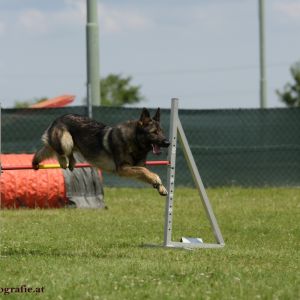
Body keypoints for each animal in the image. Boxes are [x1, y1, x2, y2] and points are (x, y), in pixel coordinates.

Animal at [32, 108, 171, 197]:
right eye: (154, 132)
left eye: (162, 131)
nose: (168, 142)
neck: (134, 140)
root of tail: (58, 118)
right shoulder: (123, 169)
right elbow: (146, 171)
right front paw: (157, 180)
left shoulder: (133, 168)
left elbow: (146, 172)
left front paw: (160, 187)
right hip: (66, 140)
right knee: (59, 150)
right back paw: (62, 161)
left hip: (71, 144)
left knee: (66, 152)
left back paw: (70, 162)